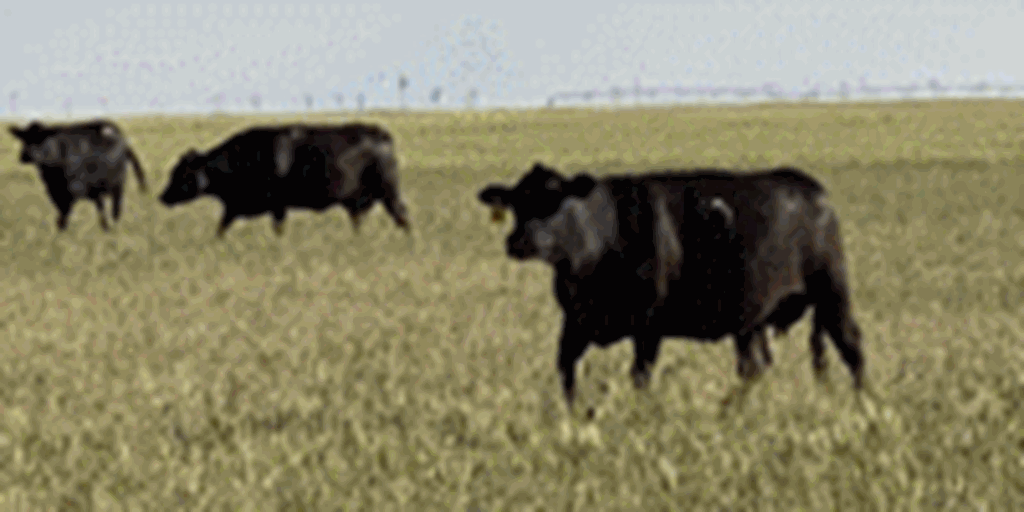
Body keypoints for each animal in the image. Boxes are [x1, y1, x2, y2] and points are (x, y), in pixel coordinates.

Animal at [8, 119, 148, 232]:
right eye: (24, 138)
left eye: (41, 138)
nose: (25, 156)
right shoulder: (54, 190)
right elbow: (61, 213)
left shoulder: (74, 188)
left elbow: (64, 213)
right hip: (97, 188)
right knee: (101, 206)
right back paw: (105, 226)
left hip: (117, 183)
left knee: (115, 207)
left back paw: (114, 225)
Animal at [159, 122, 411, 238]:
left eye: (182, 173)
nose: (162, 196)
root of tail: (381, 134)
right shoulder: (235, 208)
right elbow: (221, 227)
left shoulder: (277, 205)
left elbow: (277, 228)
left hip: (389, 190)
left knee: (401, 215)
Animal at [478, 162, 864, 410]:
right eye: (515, 203)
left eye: (553, 199)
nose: (517, 241)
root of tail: (811, 188)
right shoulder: (576, 322)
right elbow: (566, 371)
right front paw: (575, 416)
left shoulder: (649, 325)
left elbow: (640, 375)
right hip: (750, 320)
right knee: (754, 367)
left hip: (833, 290)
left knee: (851, 346)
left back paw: (865, 404)